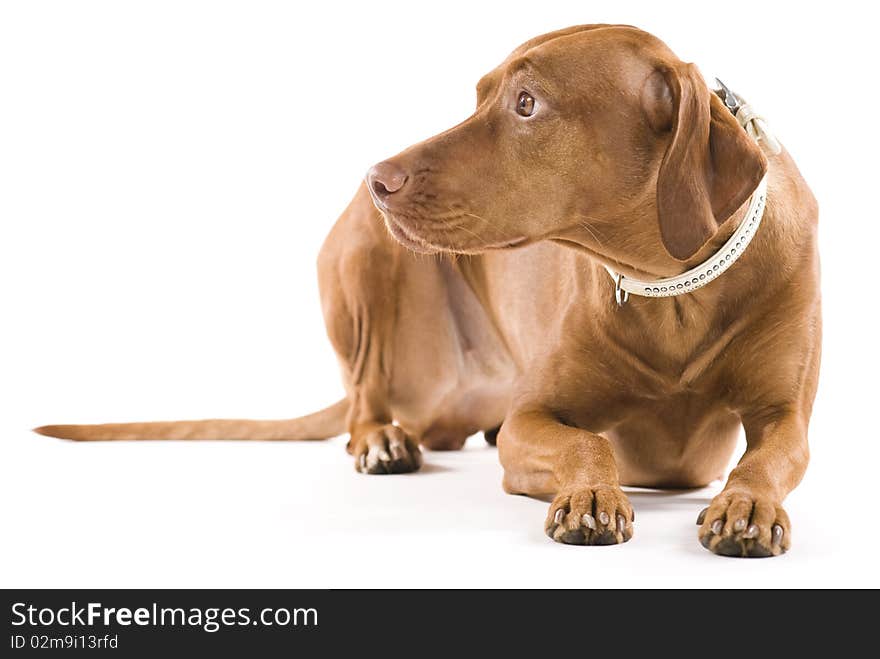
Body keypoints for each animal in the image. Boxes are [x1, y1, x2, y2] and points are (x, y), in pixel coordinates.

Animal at [34, 24, 820, 556]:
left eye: (527, 103)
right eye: (479, 96)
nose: (376, 178)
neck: (671, 289)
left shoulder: (785, 417)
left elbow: (770, 456)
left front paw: (747, 506)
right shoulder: (534, 418)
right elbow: (585, 443)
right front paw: (591, 491)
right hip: (368, 266)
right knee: (364, 396)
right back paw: (383, 439)